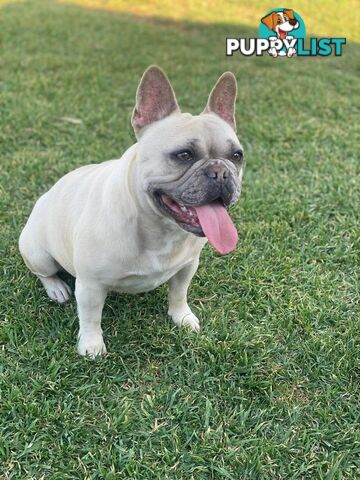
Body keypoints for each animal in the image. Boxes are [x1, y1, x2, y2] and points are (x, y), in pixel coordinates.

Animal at [19, 64, 245, 356]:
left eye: (237, 156)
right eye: (184, 155)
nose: (220, 172)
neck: (160, 228)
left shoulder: (187, 266)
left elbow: (179, 293)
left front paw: (182, 317)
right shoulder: (90, 285)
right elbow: (90, 316)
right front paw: (91, 345)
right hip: (38, 253)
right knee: (43, 273)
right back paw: (56, 288)